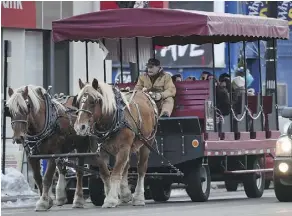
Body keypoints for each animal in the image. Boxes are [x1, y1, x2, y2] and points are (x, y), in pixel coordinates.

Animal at [74, 78, 159, 208]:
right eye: (78, 101)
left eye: (93, 101)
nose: (80, 127)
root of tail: (145, 94)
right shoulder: (99, 152)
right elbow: (105, 174)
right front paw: (111, 195)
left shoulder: (123, 148)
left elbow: (115, 173)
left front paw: (111, 199)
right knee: (126, 166)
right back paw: (125, 194)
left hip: (147, 142)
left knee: (141, 168)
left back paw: (138, 197)